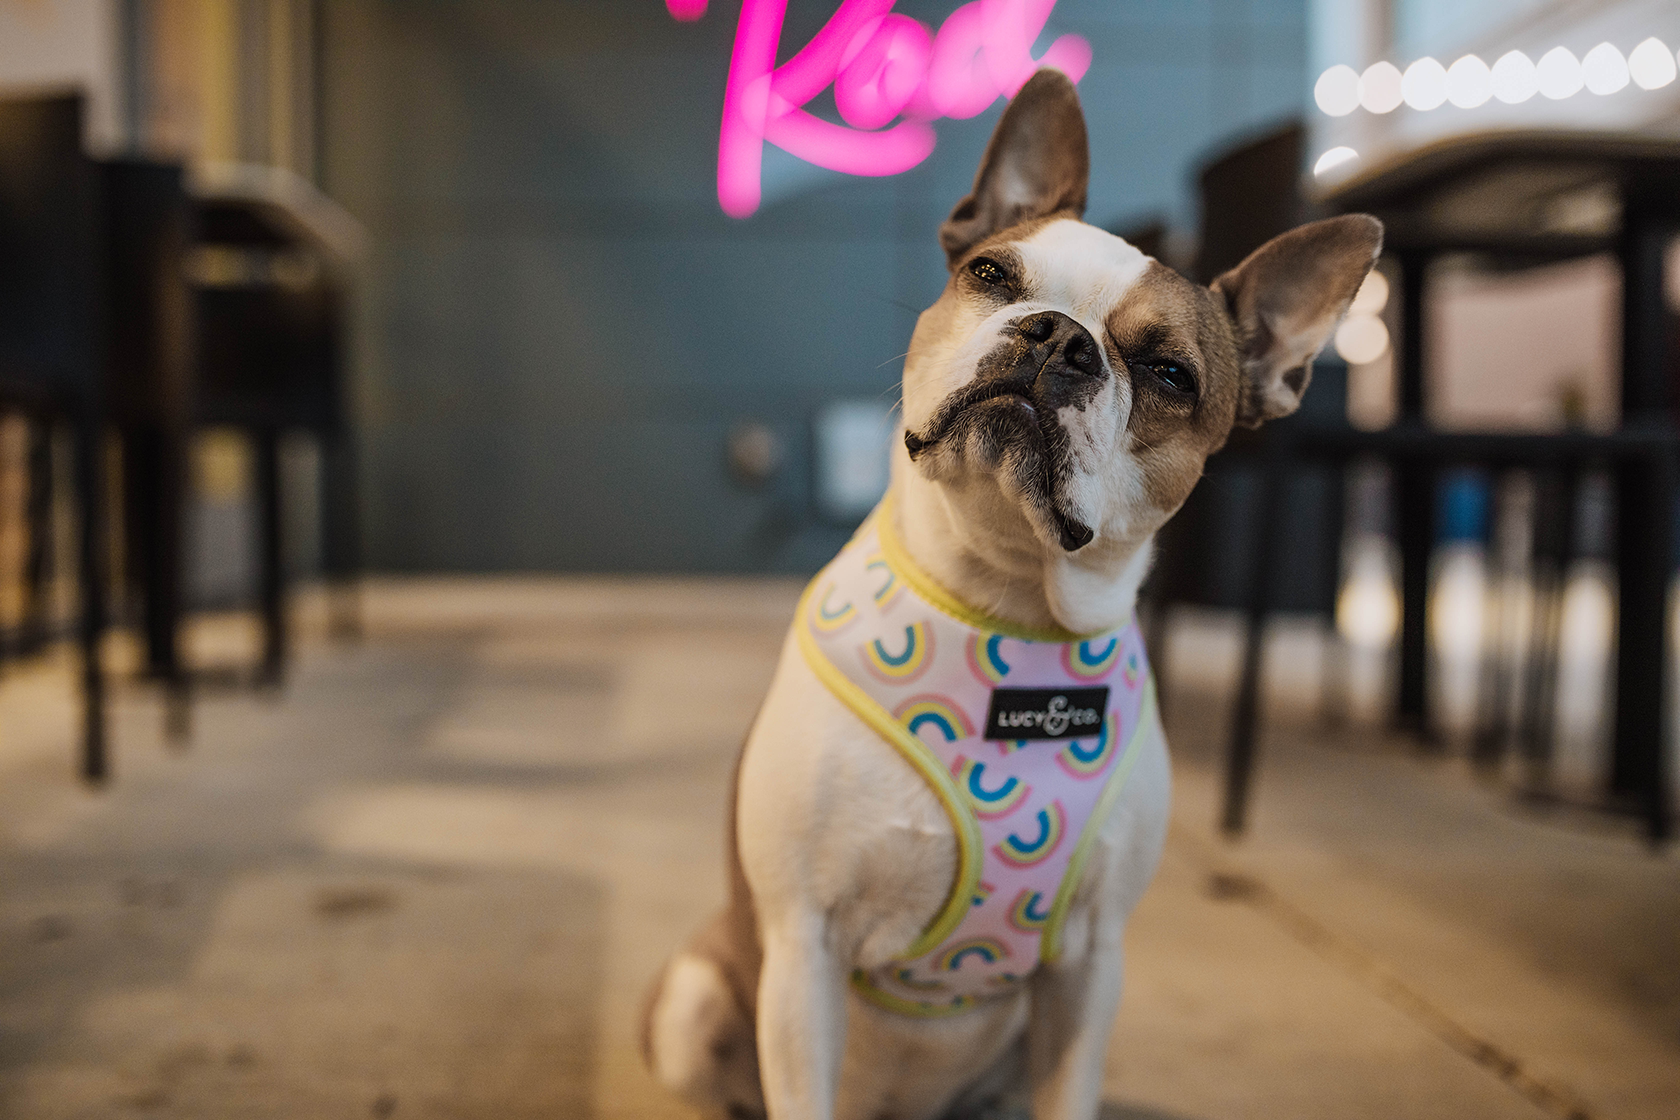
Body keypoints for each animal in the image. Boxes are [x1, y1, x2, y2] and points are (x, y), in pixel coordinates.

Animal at [641, 70, 1377, 1120]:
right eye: (993, 275)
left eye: (1169, 373)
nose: (1058, 337)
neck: (1003, 599)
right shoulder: (802, 948)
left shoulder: (1088, 967)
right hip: (699, 997)